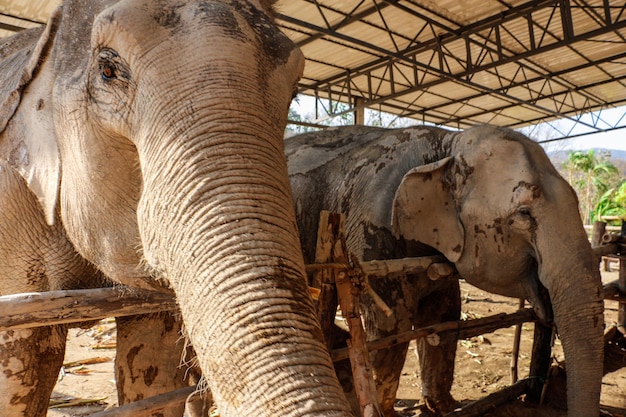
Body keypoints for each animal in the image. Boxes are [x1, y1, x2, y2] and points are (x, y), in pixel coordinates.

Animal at [286, 124, 604, 416]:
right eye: (524, 214)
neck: (447, 143)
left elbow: (444, 313)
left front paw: (442, 407)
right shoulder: (370, 236)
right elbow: (391, 326)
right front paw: (380, 410)